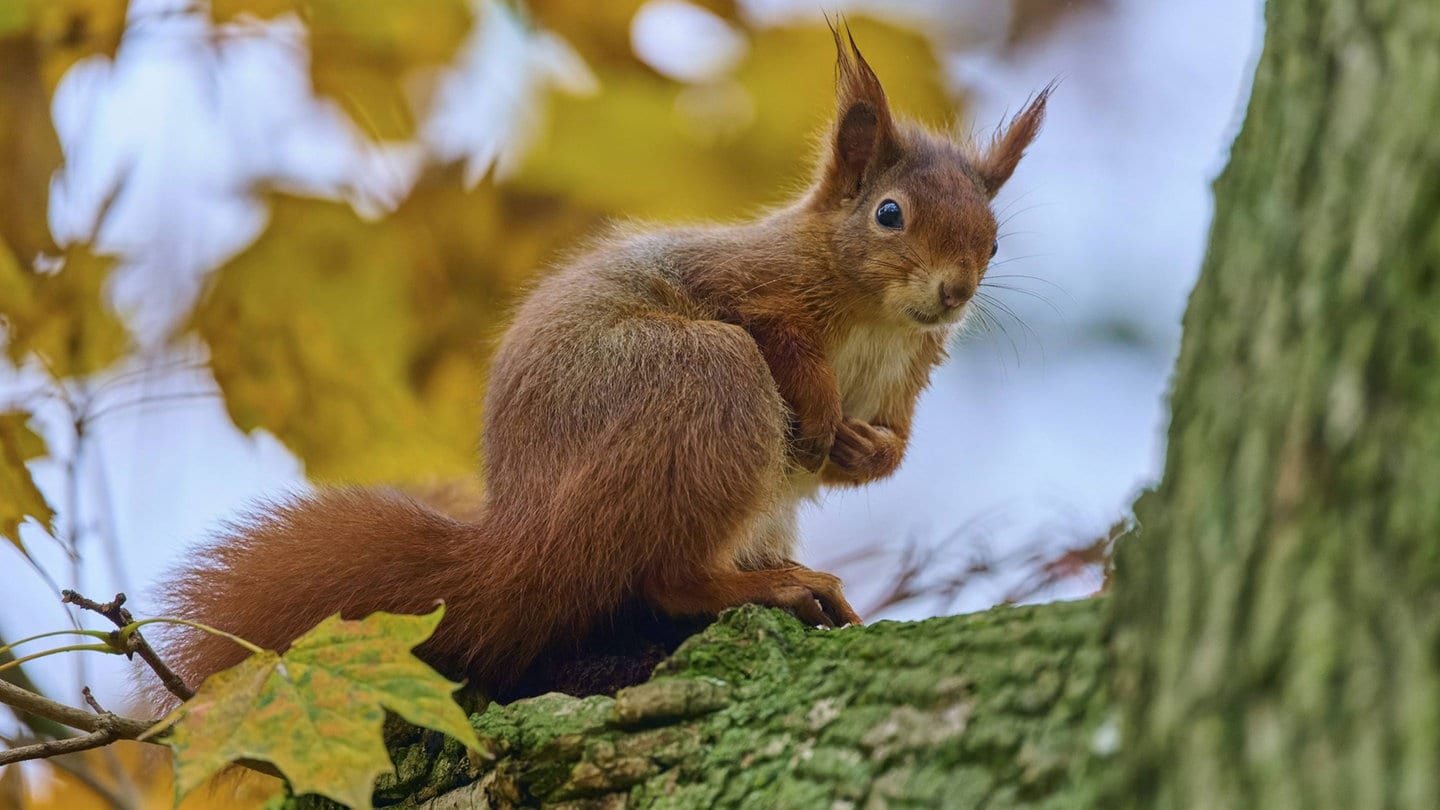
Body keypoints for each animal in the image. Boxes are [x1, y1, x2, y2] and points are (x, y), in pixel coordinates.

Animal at [157, 29, 1054, 694]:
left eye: (993, 239)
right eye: (888, 214)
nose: (953, 291)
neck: (879, 321)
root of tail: (527, 549)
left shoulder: (910, 371)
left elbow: (887, 444)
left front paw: (867, 449)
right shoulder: (751, 288)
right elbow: (785, 347)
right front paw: (826, 416)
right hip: (702, 384)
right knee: (669, 577)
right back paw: (772, 587)